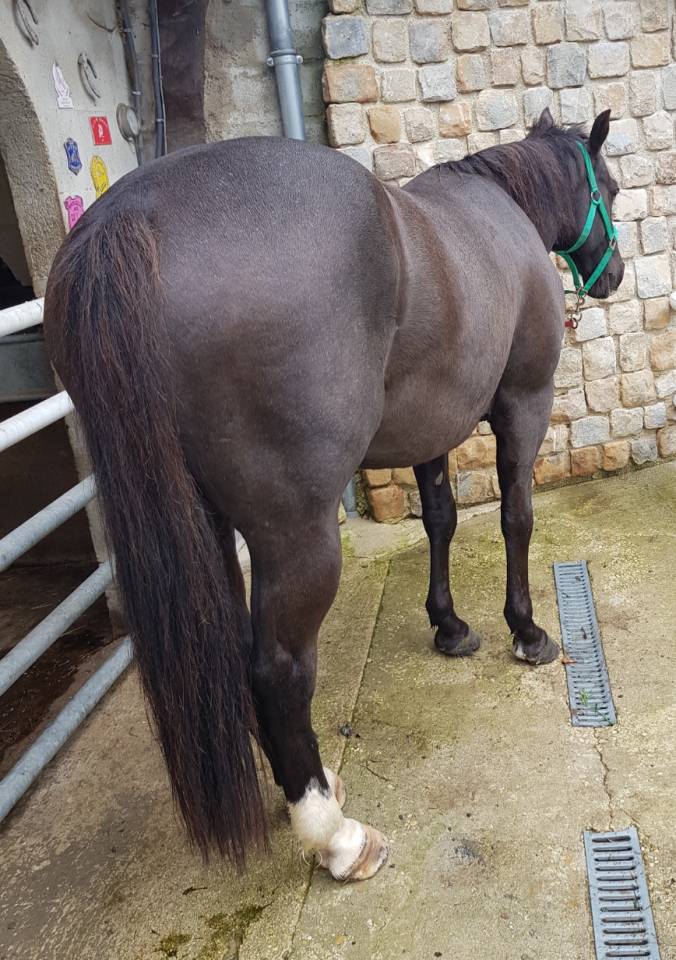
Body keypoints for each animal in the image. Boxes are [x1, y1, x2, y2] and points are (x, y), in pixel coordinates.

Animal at [43, 108, 623, 882]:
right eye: (609, 189)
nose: (616, 273)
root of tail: (130, 218)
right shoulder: (523, 403)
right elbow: (515, 518)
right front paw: (525, 631)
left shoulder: (430, 428)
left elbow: (440, 520)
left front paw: (449, 625)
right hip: (296, 534)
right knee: (277, 670)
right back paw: (333, 834)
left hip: (203, 522)